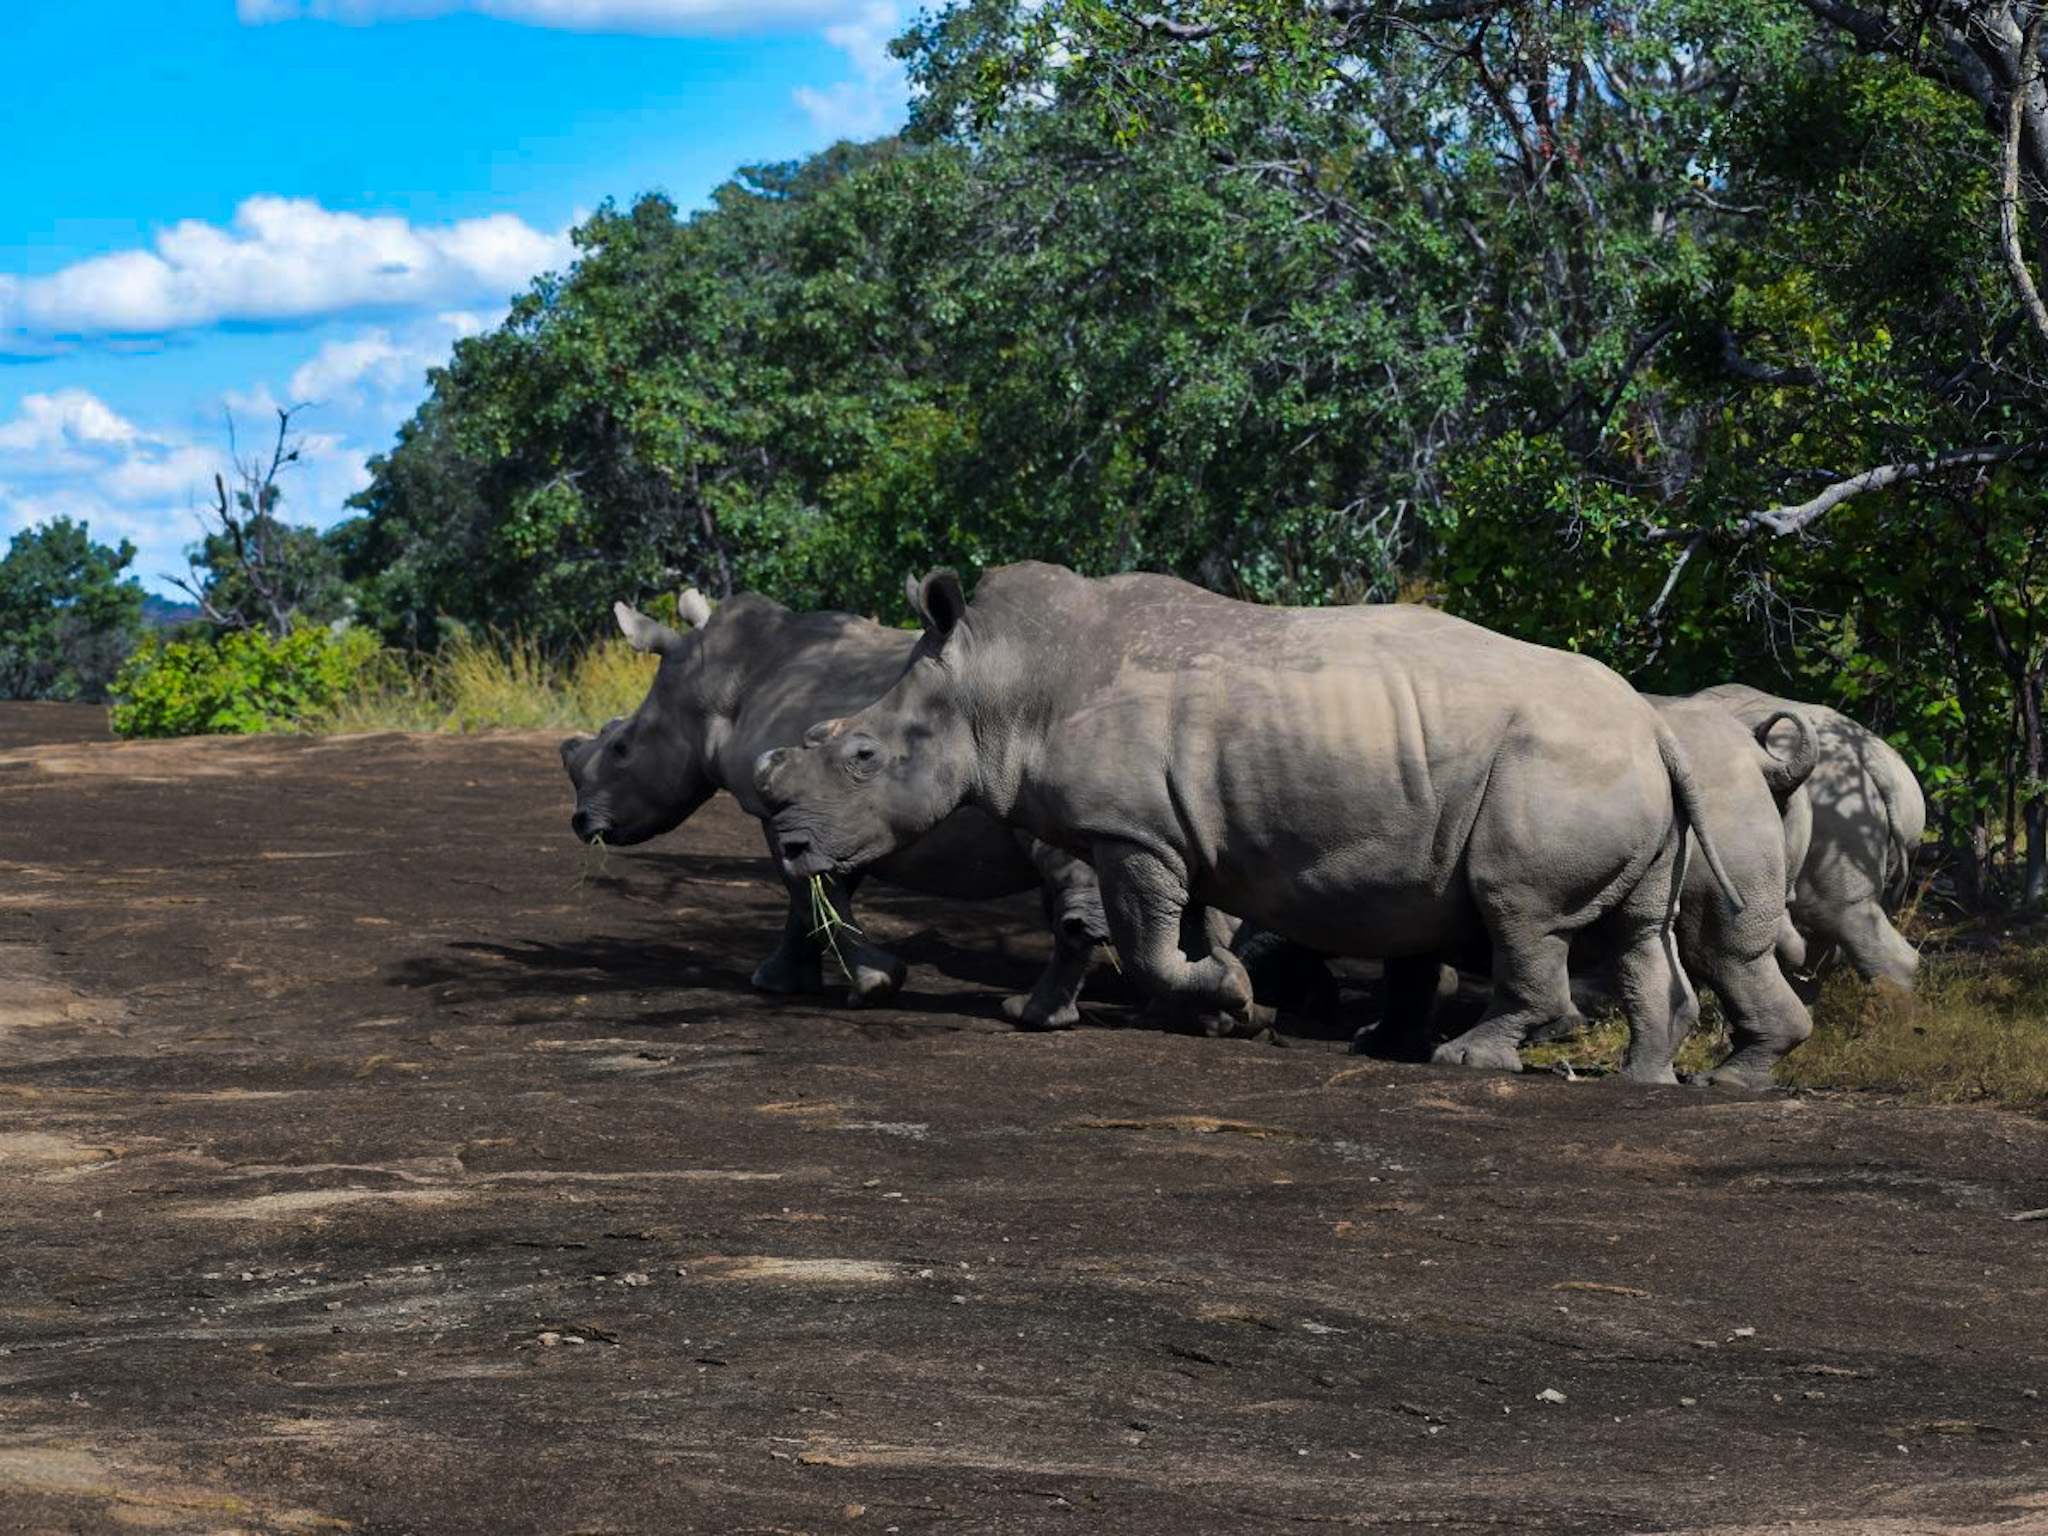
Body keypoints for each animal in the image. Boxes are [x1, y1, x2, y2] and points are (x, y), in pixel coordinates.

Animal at [559, 589, 1107, 1028]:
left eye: (620, 748)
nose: (581, 822)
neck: (710, 689)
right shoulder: (835, 812)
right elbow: (817, 893)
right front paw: (779, 981)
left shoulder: (782, 806)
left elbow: (806, 893)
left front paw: (873, 985)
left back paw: (1035, 1015)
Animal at [755, 562, 1752, 1084]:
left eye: (862, 756)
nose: (790, 839)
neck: (998, 686)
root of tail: (1658, 725)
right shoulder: (1174, 832)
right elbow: (1184, 926)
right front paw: (1227, 1009)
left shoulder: (1131, 832)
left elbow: (1148, 942)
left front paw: (1230, 997)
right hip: (1607, 767)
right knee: (1636, 930)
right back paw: (1644, 1079)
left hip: (1554, 768)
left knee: (1521, 912)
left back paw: (1464, 1061)